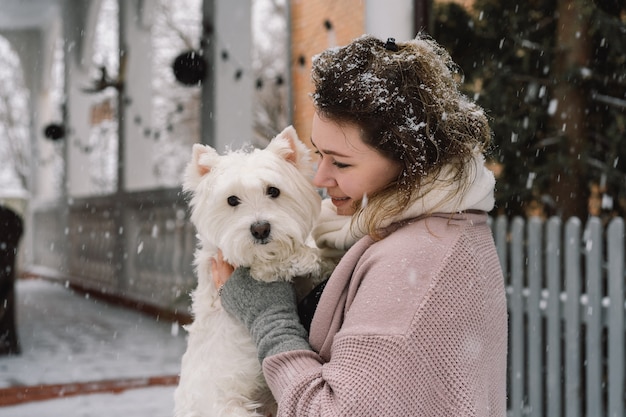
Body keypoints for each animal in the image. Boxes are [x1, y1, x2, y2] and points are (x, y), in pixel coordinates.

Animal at [173, 127, 324, 416]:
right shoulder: (249, 269)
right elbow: (272, 264)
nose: (260, 229)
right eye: (232, 200)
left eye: (273, 191)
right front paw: (308, 257)